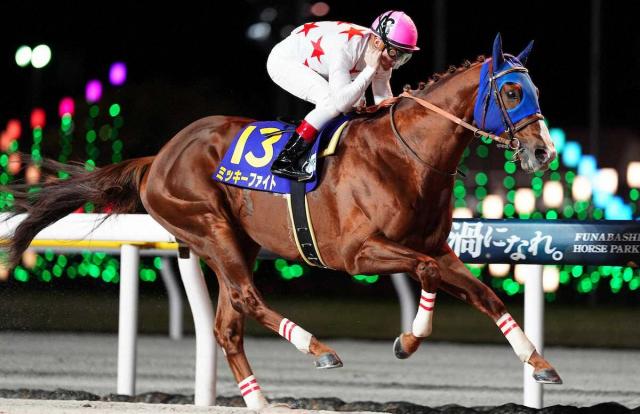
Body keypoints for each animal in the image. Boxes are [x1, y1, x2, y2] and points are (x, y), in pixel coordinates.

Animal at [2, 34, 560, 408]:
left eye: (534, 89)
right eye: (513, 93)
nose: (542, 152)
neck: (407, 156)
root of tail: (157, 157)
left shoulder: (438, 245)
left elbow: (481, 292)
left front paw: (540, 363)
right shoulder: (356, 254)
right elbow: (423, 272)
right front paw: (409, 339)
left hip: (235, 243)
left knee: (227, 326)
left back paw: (261, 401)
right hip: (209, 227)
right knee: (248, 301)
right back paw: (318, 348)